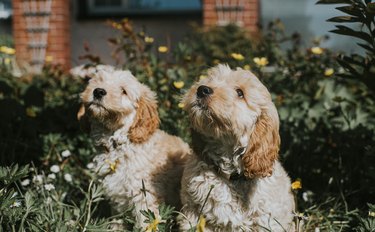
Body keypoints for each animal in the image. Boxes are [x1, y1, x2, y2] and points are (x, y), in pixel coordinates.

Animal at [75, 65, 191, 228]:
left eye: (124, 90)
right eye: (98, 82)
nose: (98, 91)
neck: (121, 144)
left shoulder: (143, 193)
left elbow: (146, 222)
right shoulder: (117, 197)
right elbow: (117, 218)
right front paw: (115, 228)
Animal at [179, 64, 296, 231]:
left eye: (240, 93)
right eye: (211, 79)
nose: (202, 89)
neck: (231, 174)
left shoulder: (267, 221)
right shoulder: (194, 213)